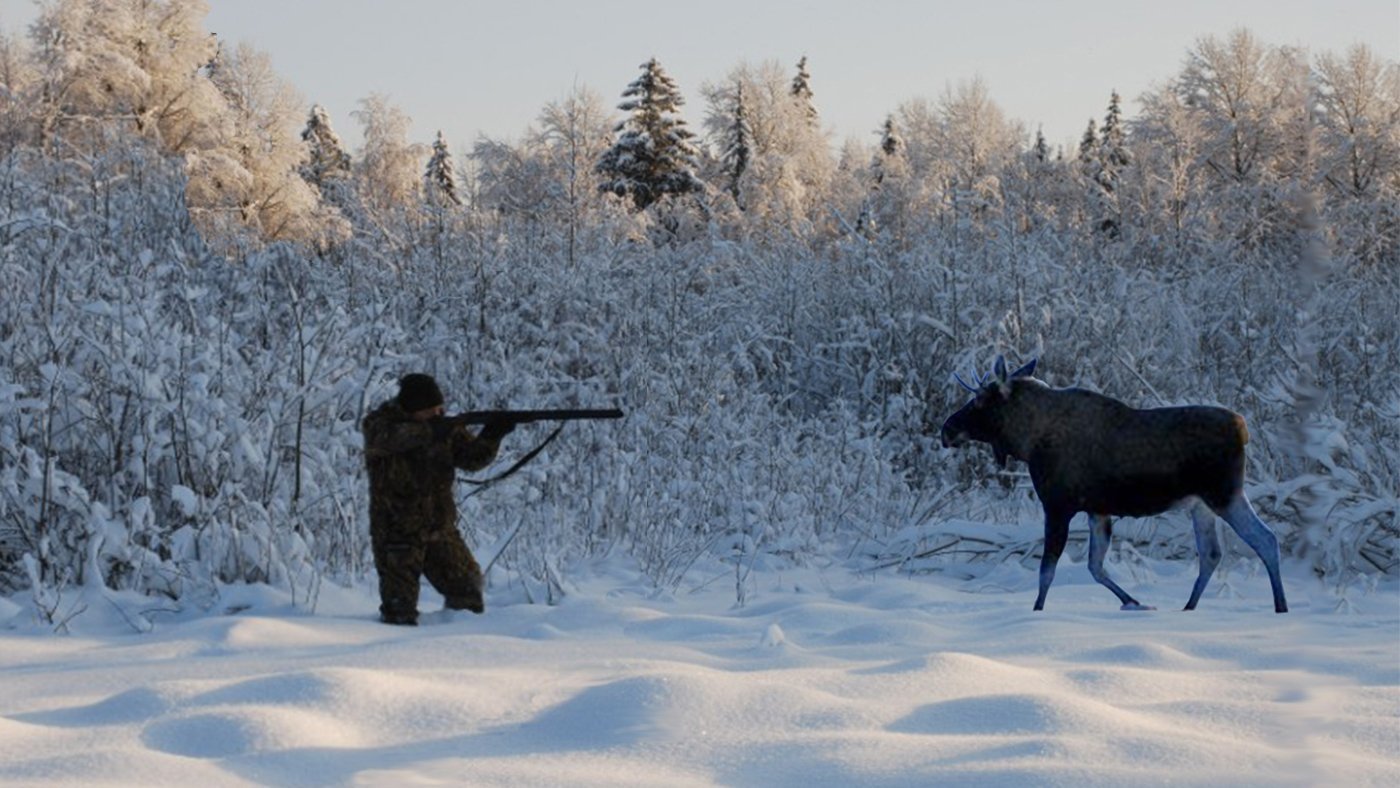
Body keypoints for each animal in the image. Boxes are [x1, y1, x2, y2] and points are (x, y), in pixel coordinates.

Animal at [940, 358, 1288, 615]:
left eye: (980, 400)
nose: (947, 429)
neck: (1027, 442)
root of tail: (1244, 428)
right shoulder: (1097, 510)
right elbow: (1095, 567)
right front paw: (1134, 602)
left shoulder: (1058, 505)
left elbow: (1047, 571)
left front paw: (1037, 612)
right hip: (1201, 504)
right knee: (1212, 553)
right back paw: (1189, 607)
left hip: (1224, 494)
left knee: (1265, 539)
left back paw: (1280, 607)